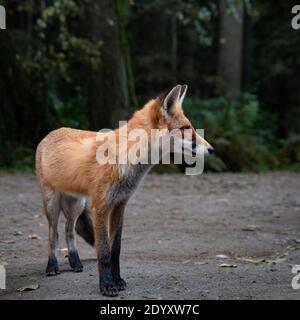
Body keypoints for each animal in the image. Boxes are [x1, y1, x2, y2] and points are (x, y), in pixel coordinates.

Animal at [35, 84, 213, 296]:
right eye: (185, 128)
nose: (212, 149)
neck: (127, 159)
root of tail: (49, 134)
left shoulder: (120, 204)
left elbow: (115, 250)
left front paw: (117, 280)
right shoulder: (101, 206)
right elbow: (103, 252)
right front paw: (106, 285)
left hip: (76, 206)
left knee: (69, 231)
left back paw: (75, 262)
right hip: (52, 204)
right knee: (53, 235)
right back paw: (52, 266)